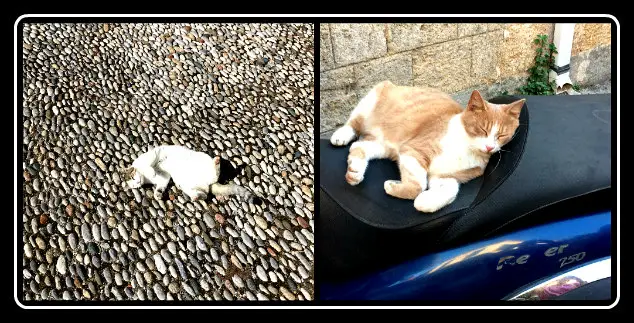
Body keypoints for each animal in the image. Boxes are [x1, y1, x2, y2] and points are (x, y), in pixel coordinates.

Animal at [123, 145, 260, 205]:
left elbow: (150, 165)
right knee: (204, 195)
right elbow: (161, 184)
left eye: (133, 178)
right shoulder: (164, 177)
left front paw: (151, 171)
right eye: (134, 186)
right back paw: (196, 197)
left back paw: (216, 161)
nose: (137, 183)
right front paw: (158, 194)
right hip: (186, 185)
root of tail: (208, 184)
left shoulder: (152, 155)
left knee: (214, 175)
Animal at [328, 80, 520, 213]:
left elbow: (451, 188)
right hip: (372, 98)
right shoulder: (414, 151)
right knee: (354, 122)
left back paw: (354, 172)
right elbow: (417, 185)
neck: (467, 148)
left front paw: (425, 201)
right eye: (482, 129)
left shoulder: (444, 177)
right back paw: (341, 135)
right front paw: (394, 186)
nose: (489, 147)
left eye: (501, 135)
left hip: (382, 146)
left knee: (358, 146)